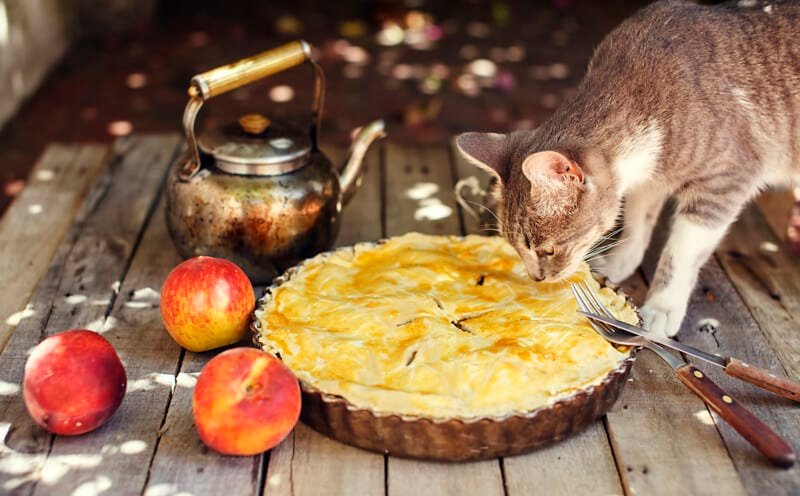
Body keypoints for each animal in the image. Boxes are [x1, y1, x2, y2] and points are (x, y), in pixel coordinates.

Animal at [456, 0, 800, 338]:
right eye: (515, 247)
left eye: (548, 250)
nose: (536, 278)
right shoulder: (648, 181)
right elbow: (637, 224)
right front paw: (620, 263)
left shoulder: (726, 179)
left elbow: (680, 251)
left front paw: (661, 306)